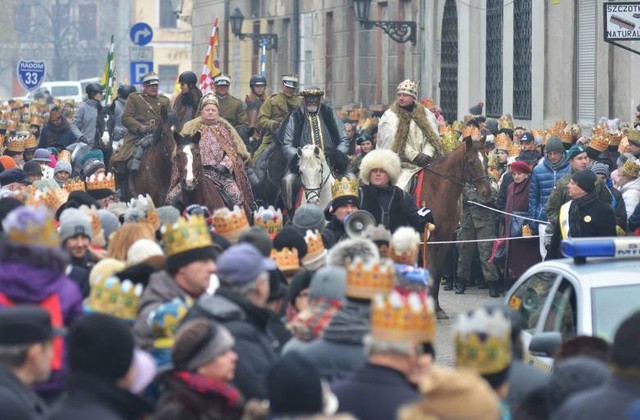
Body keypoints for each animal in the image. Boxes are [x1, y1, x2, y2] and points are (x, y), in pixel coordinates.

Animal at [422, 137, 492, 318]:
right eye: (471, 162)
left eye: (487, 160)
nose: (487, 193)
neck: (438, 190)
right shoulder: (430, 239)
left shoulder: (445, 238)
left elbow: (437, 272)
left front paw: (437, 308)